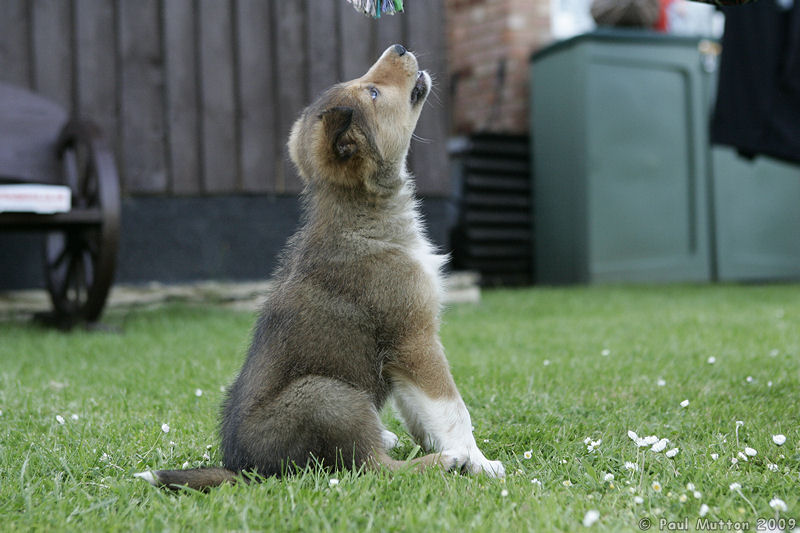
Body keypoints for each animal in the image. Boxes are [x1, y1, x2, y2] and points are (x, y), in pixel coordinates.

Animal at [135, 45, 504, 490]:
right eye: (373, 93)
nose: (398, 48)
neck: (363, 213)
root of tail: (245, 468)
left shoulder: (403, 357)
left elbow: (422, 414)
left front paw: (459, 452)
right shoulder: (414, 337)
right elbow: (452, 409)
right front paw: (479, 462)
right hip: (330, 396)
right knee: (373, 467)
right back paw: (441, 462)